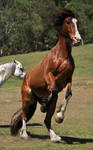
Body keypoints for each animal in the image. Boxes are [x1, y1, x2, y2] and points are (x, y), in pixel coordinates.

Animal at [10, 8, 81, 142]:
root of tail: (25, 77)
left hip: (37, 100)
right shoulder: (48, 75)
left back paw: (54, 136)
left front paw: (59, 117)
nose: (77, 39)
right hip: (27, 99)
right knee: (24, 116)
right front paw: (49, 109)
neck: (62, 56)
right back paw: (24, 134)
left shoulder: (68, 79)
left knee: (47, 119)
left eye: (77, 22)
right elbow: (53, 89)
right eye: (68, 22)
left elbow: (68, 94)